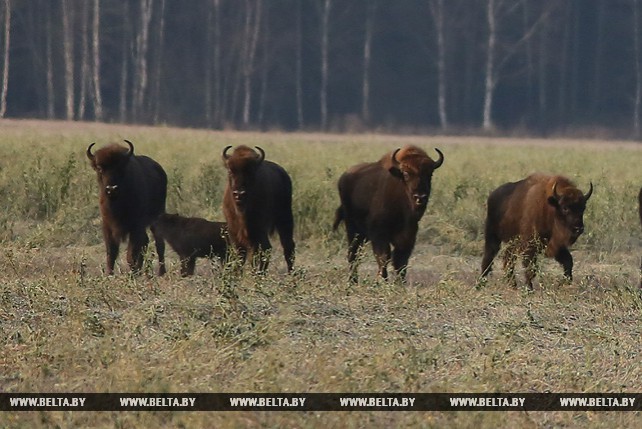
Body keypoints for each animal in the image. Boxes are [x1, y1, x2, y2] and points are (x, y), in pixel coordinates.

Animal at [85, 140, 168, 274]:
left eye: (120, 167)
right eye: (99, 168)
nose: (112, 189)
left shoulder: (136, 227)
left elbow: (131, 254)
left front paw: (132, 273)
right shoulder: (108, 226)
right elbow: (111, 253)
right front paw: (109, 274)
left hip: (157, 218)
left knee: (159, 244)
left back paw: (161, 272)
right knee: (146, 242)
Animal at [332, 145, 442, 282]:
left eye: (430, 174)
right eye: (406, 174)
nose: (420, 197)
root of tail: (343, 178)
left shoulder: (408, 235)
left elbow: (401, 261)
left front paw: (400, 283)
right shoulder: (379, 234)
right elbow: (384, 257)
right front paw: (381, 280)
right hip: (352, 228)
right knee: (353, 253)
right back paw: (353, 281)